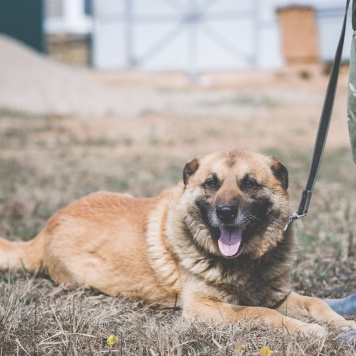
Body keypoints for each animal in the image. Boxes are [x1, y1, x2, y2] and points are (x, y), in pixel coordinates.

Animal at [0, 149, 354, 338]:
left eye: (250, 184)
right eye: (211, 183)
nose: (226, 213)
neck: (243, 263)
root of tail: (46, 229)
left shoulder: (277, 295)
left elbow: (315, 303)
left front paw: (341, 324)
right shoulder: (202, 308)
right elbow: (260, 313)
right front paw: (308, 330)